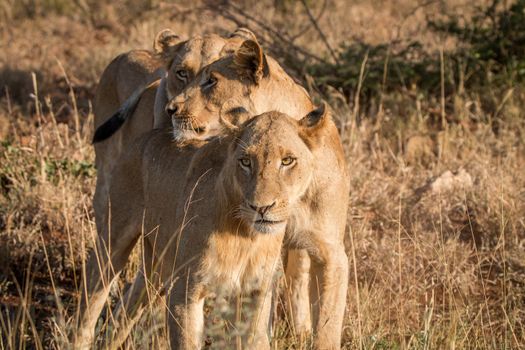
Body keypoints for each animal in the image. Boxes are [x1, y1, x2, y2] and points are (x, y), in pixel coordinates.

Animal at [77, 106, 336, 348]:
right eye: (245, 162)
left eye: (287, 161)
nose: (261, 207)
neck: (246, 236)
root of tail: (149, 135)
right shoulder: (185, 292)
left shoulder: (256, 293)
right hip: (114, 240)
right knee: (92, 297)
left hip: (158, 265)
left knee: (125, 309)